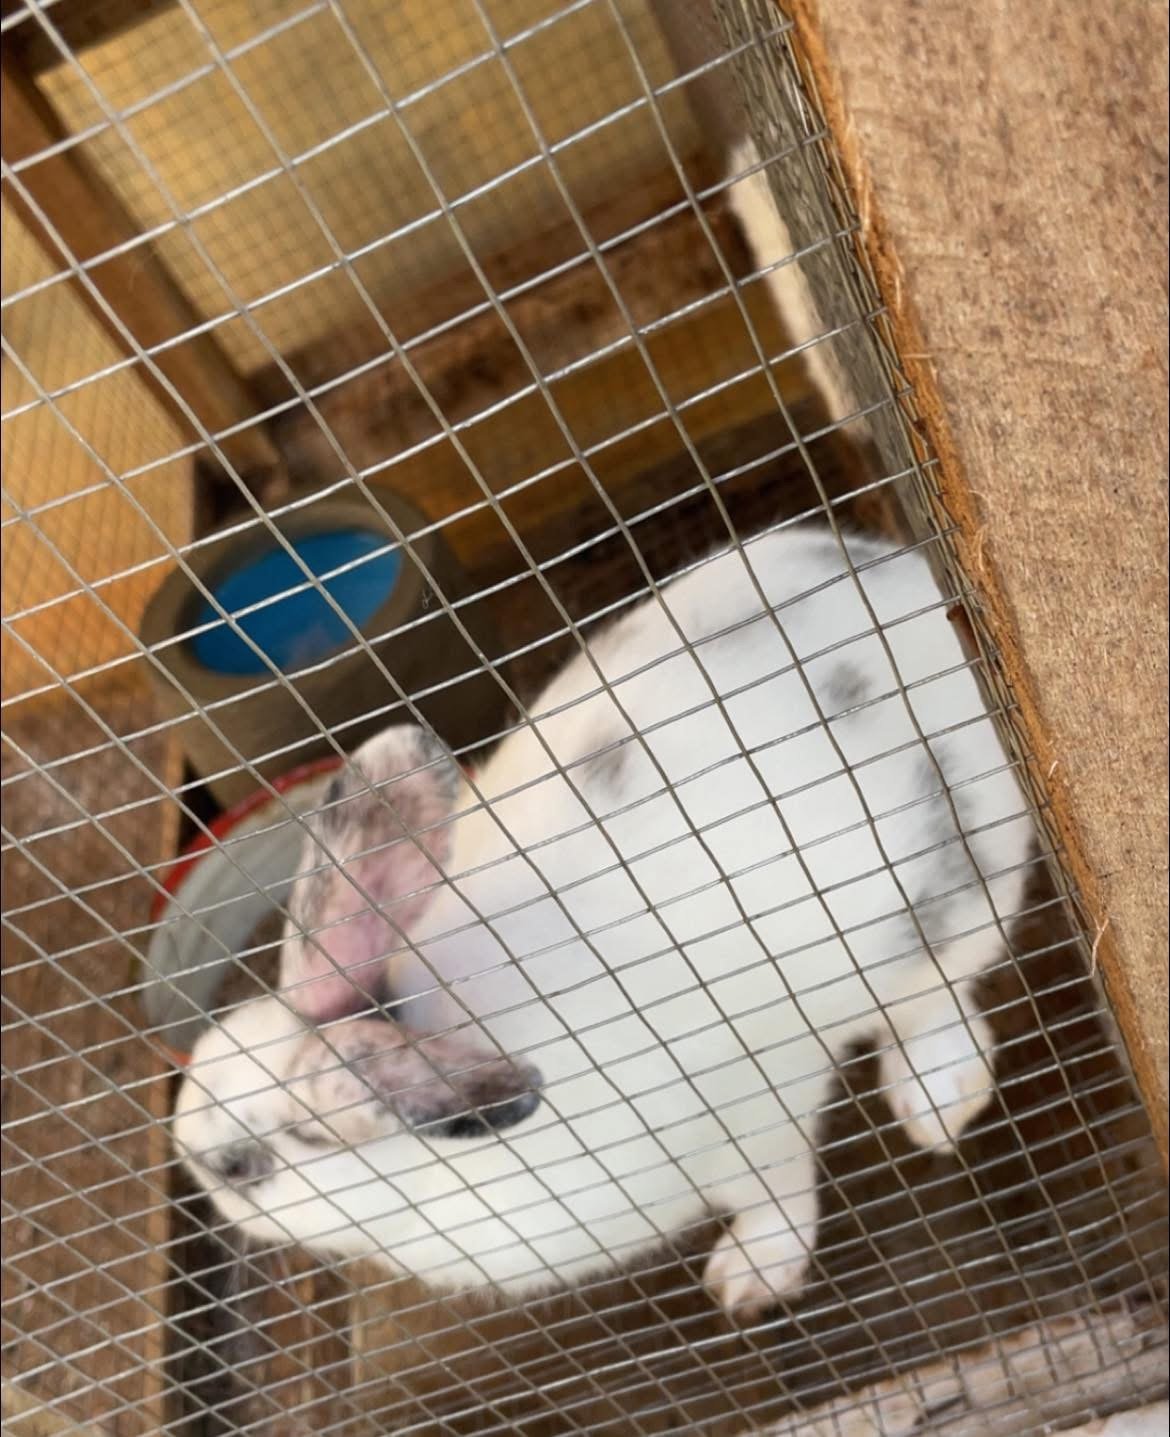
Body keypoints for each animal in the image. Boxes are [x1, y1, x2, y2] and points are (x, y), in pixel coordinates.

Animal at [172, 523, 1036, 1317]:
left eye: (240, 1166)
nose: (187, 1157)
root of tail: (917, 588)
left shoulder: (753, 1122)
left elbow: (778, 1192)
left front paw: (747, 1279)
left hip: (956, 893)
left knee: (936, 1000)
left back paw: (937, 1102)